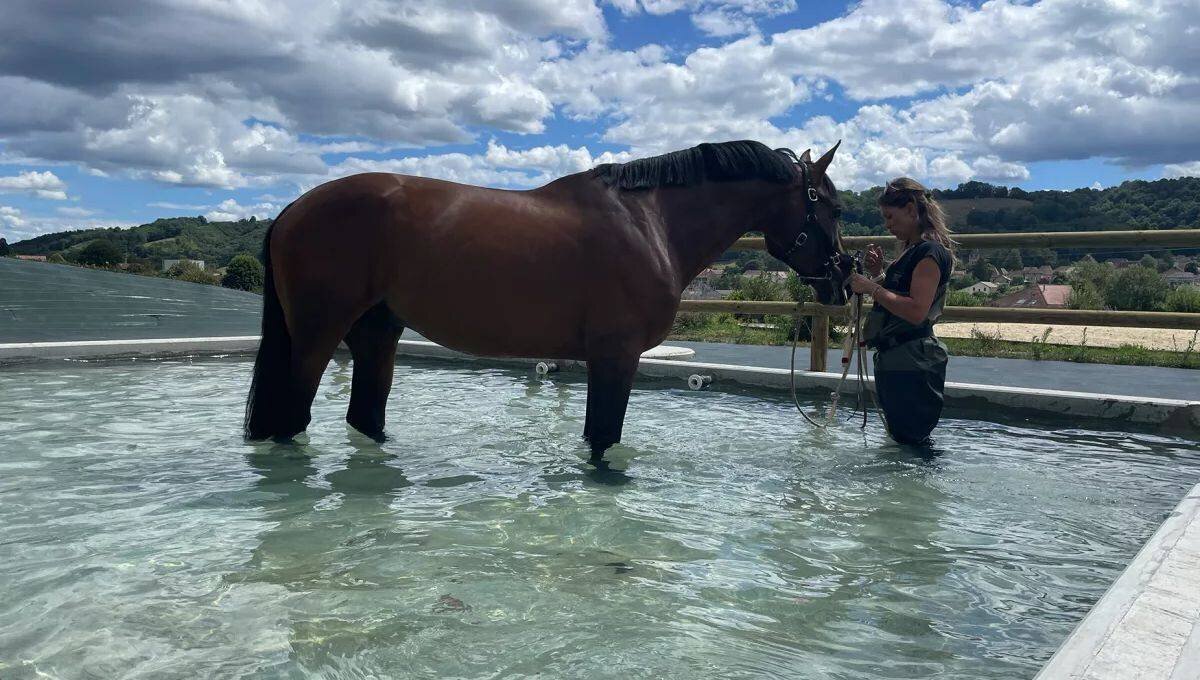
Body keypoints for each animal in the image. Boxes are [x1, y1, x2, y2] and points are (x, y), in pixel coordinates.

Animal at [244, 140, 852, 456]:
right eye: (832, 206)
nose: (843, 280)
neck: (649, 221)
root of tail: (294, 208)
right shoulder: (616, 356)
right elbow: (603, 439)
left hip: (377, 330)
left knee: (365, 416)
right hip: (317, 335)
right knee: (292, 417)